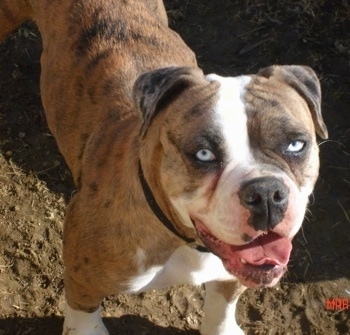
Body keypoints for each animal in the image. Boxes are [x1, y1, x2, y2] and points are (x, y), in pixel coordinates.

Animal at [0, 0, 328, 334]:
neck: (185, 240)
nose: (266, 194)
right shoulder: (83, 278)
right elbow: (83, 315)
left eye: (296, 145)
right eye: (204, 154)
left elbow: (221, 305)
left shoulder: (232, 274)